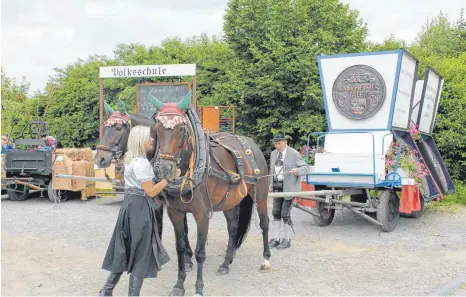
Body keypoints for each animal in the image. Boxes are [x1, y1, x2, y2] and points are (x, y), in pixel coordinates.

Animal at [151, 92, 272, 294]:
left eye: (182, 128)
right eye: (157, 128)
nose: (166, 169)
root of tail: (251, 144)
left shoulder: (202, 214)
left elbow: (200, 252)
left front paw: (199, 288)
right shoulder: (175, 212)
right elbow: (180, 248)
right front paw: (179, 285)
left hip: (261, 194)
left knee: (264, 223)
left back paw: (266, 259)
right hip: (230, 201)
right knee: (233, 228)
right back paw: (226, 263)